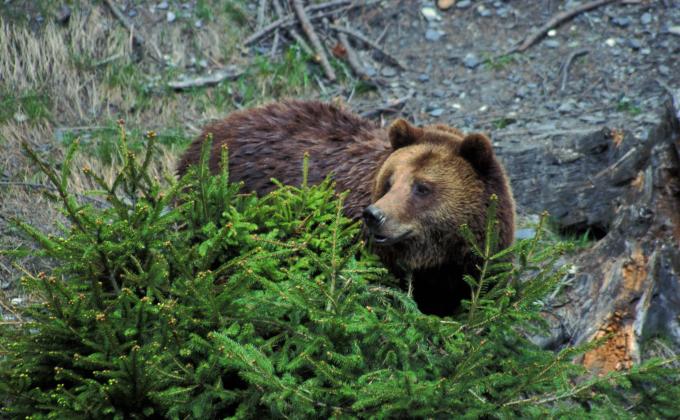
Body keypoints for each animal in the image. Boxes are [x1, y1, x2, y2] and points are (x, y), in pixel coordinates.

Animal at [177, 100, 516, 316]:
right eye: (390, 181)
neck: (436, 260)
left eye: (422, 187)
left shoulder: (475, 266)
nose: (374, 215)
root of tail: (208, 132)